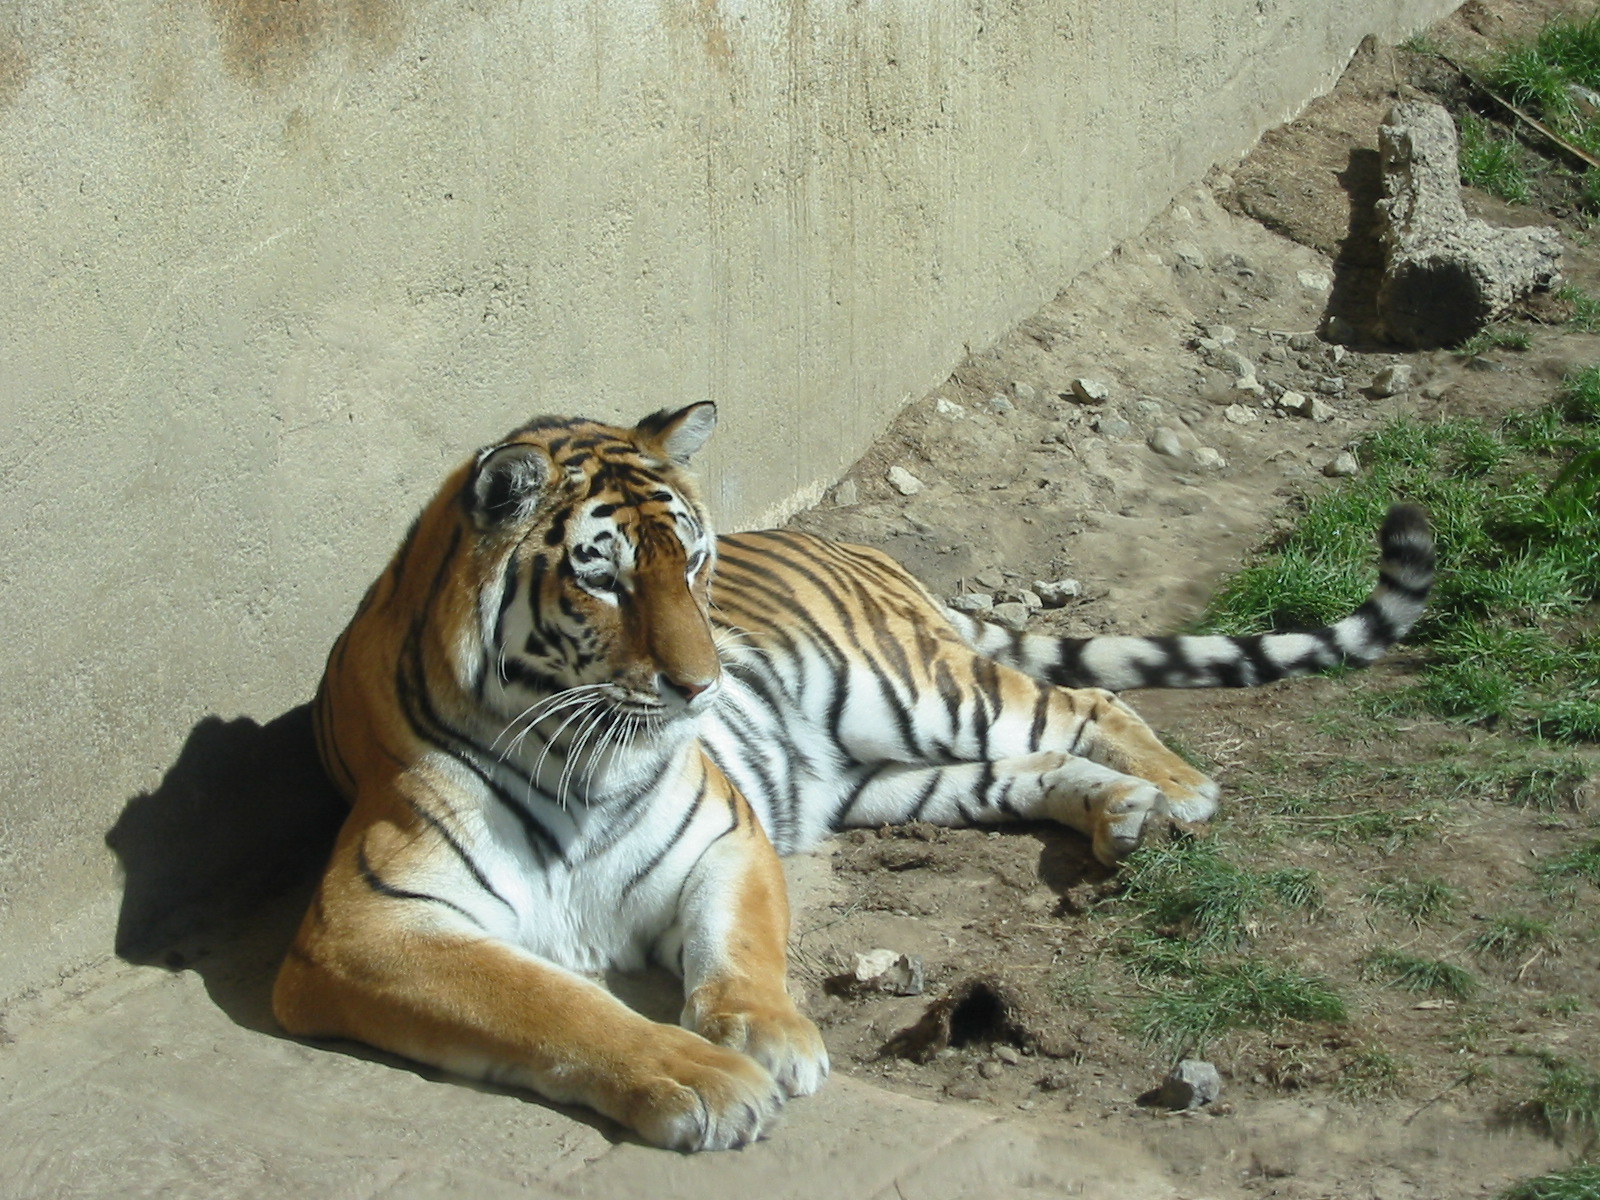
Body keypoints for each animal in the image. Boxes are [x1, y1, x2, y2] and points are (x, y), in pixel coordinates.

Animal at [273, 402, 1435, 1151]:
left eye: (691, 560)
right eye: (603, 577)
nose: (701, 685)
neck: (579, 753)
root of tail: (875, 559)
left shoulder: (723, 835)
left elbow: (742, 950)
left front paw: (772, 1037)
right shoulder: (365, 928)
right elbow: (549, 1005)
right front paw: (706, 1078)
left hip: (910, 694)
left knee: (1087, 703)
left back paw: (1181, 792)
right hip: (884, 775)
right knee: (1034, 760)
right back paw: (1122, 810)